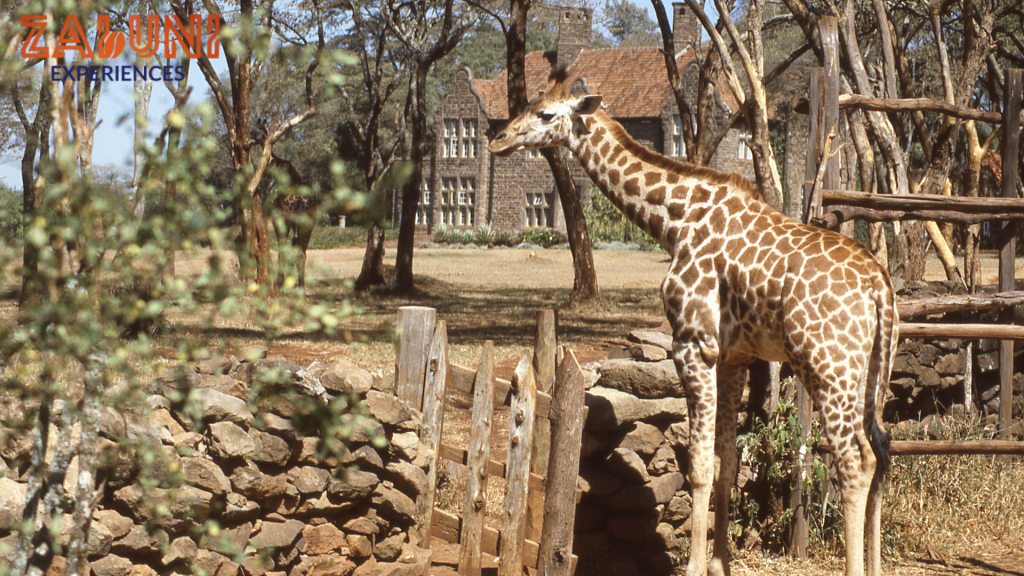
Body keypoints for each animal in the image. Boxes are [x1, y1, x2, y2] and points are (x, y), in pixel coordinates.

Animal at [489, 68, 897, 576]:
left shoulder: (692, 344)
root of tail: (880, 289)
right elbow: (725, 461)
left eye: (544, 113)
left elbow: (699, 466)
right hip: (870, 372)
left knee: (854, 460)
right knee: (881, 451)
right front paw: (721, 563)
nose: (498, 140)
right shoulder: (734, 355)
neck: (675, 221)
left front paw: (696, 566)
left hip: (826, 366)